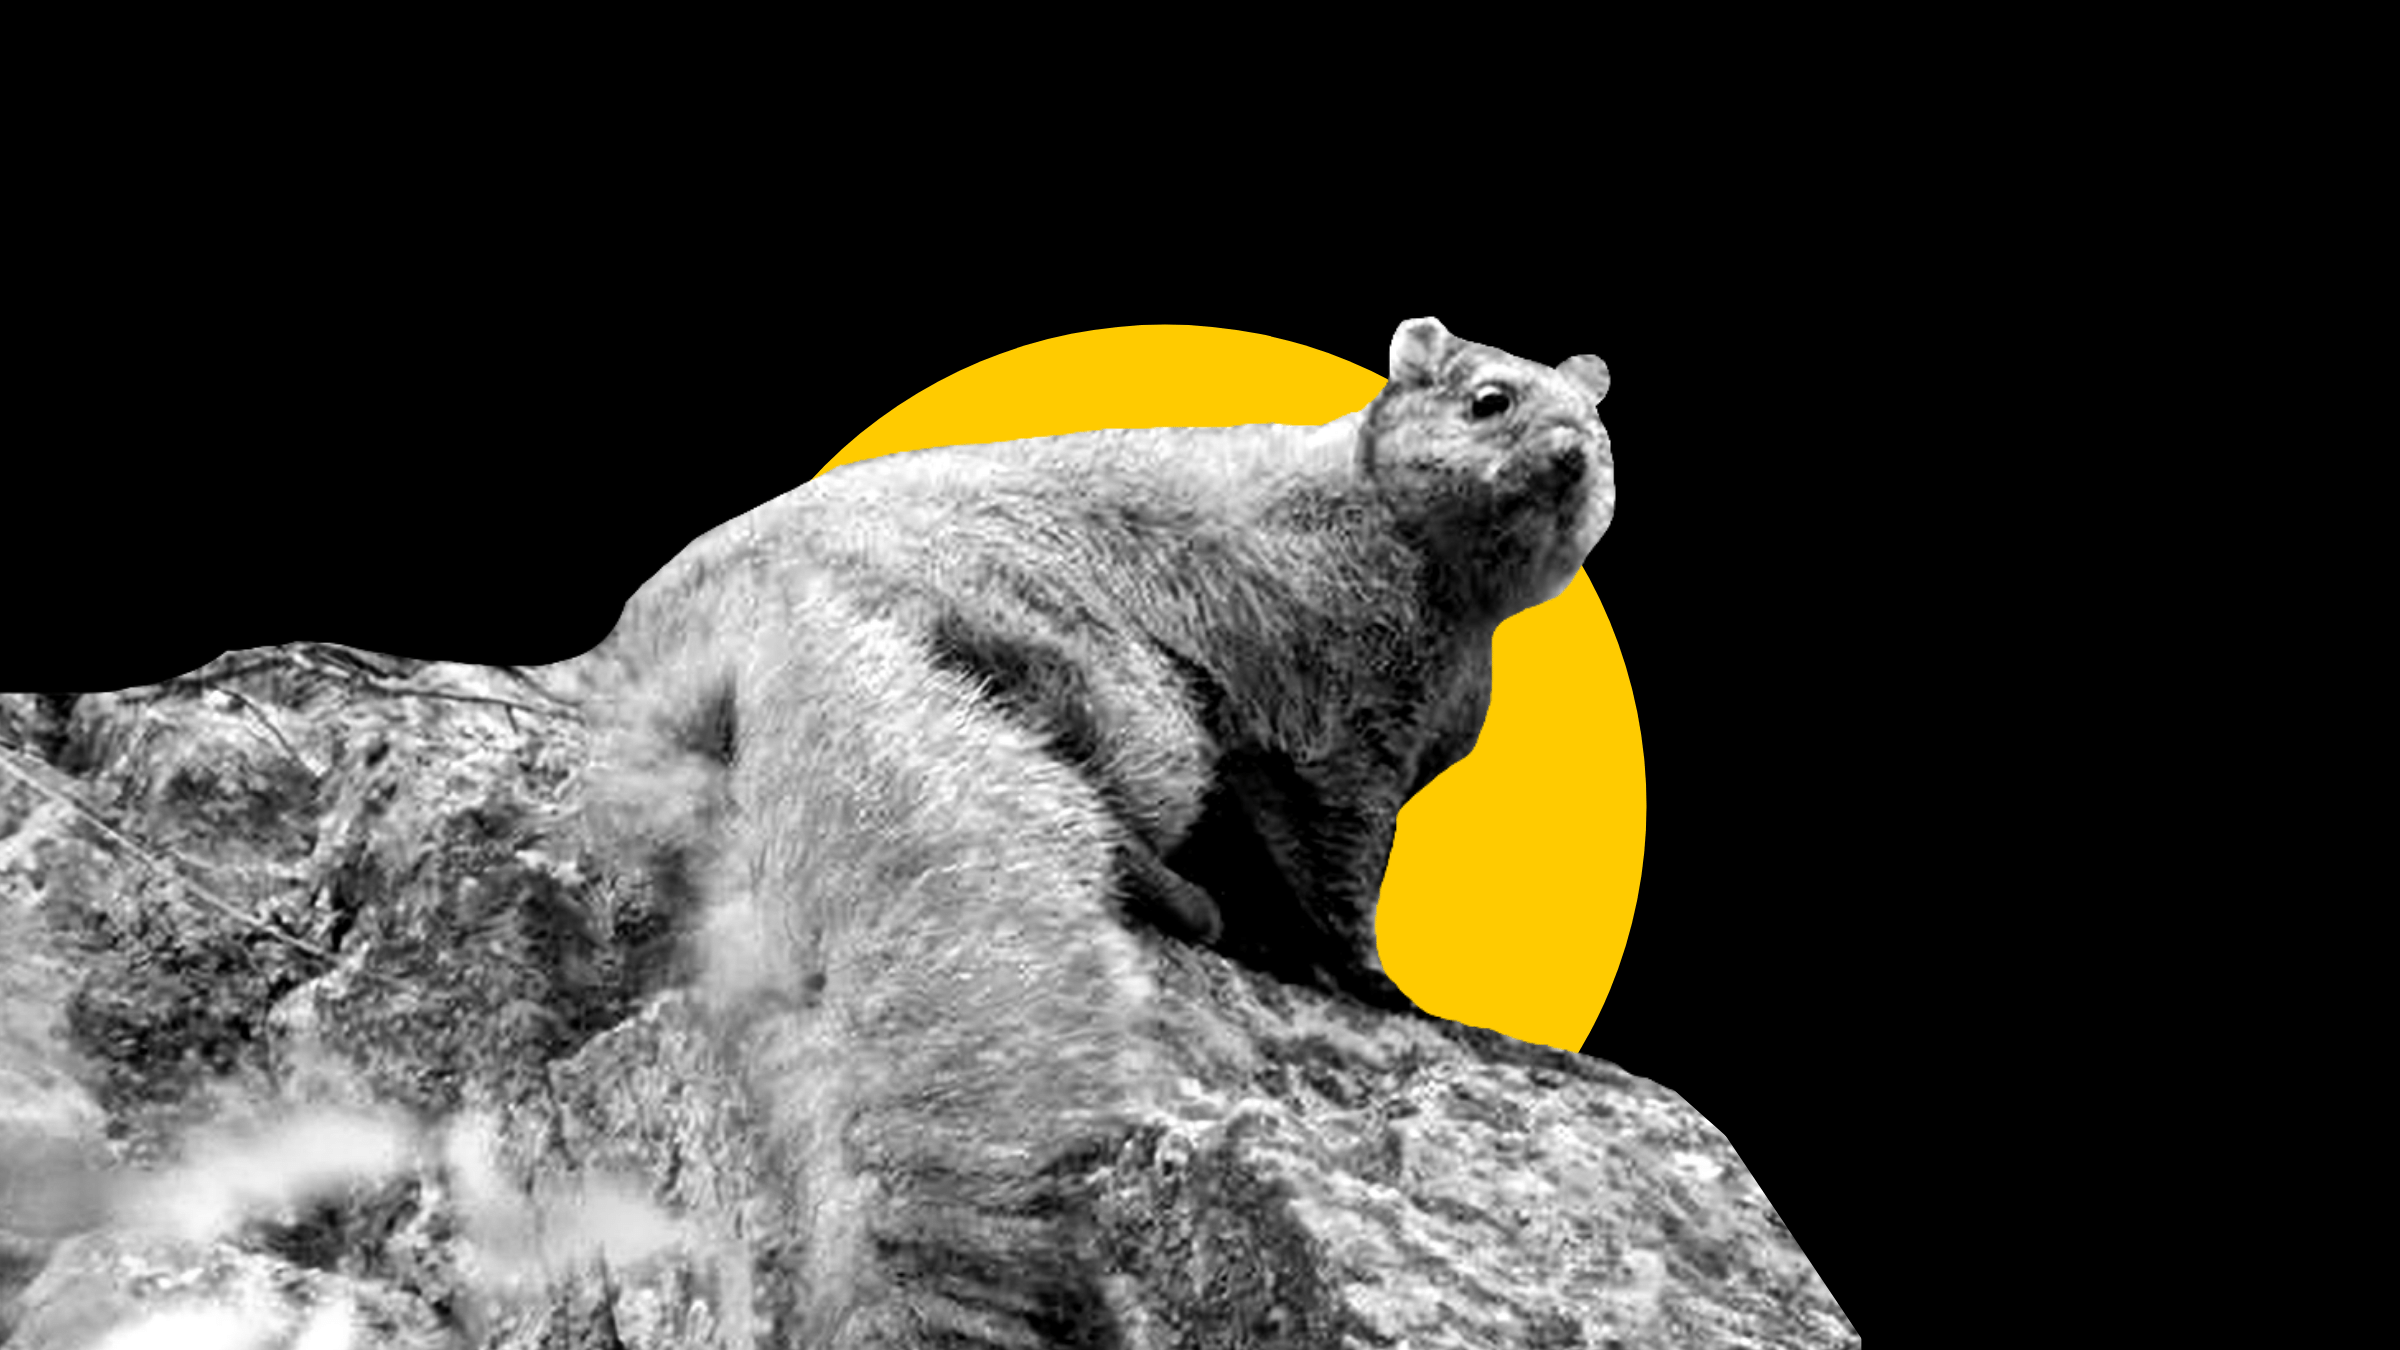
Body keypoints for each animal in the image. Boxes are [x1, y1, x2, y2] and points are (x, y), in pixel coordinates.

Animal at [568, 318, 1612, 1344]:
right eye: (1489, 400)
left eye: (1600, 429)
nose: (1571, 453)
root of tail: (765, 611)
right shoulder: (1342, 709)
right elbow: (1337, 863)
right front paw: (1389, 988)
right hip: (1123, 694)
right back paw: (1188, 898)